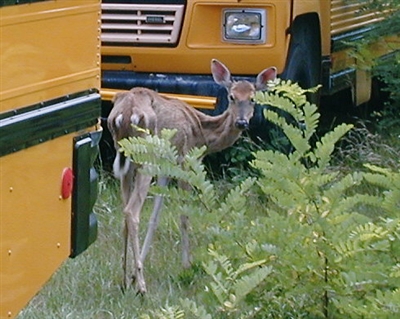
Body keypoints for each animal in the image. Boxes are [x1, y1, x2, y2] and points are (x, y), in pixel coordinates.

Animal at [106, 58, 276, 296]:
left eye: (252, 98)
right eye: (232, 96)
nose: (242, 122)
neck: (202, 134)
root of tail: (126, 110)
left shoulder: (165, 169)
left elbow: (155, 218)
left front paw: (134, 272)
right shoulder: (185, 160)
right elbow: (184, 216)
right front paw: (186, 265)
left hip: (127, 160)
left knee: (124, 212)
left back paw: (124, 280)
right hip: (147, 157)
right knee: (132, 211)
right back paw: (142, 287)